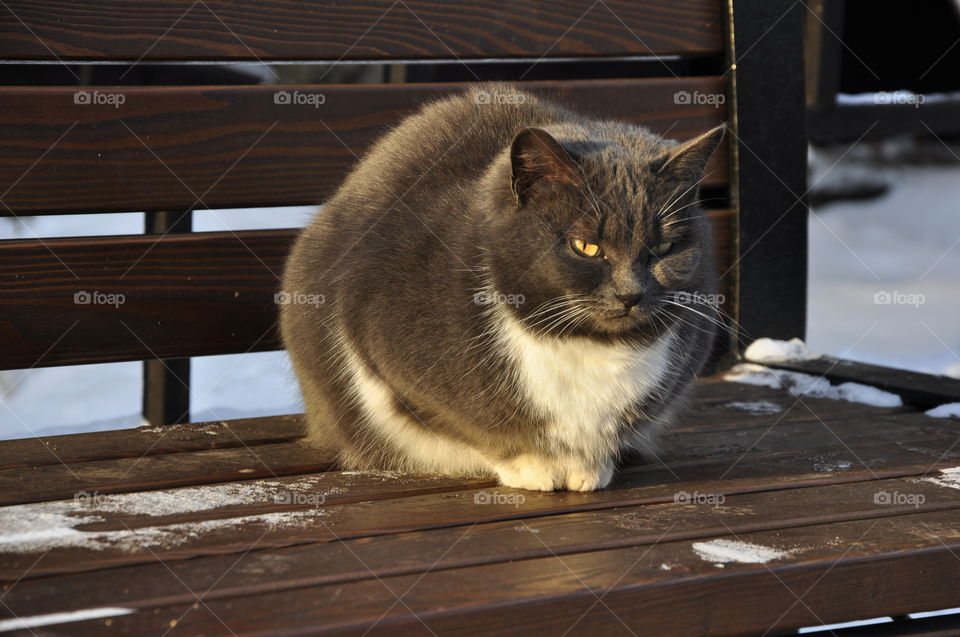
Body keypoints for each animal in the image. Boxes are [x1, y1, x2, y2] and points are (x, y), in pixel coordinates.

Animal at [282, 83, 724, 492]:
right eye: (586, 246)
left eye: (663, 249)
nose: (629, 294)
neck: (589, 345)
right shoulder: (382, 338)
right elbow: (474, 428)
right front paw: (533, 466)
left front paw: (590, 466)